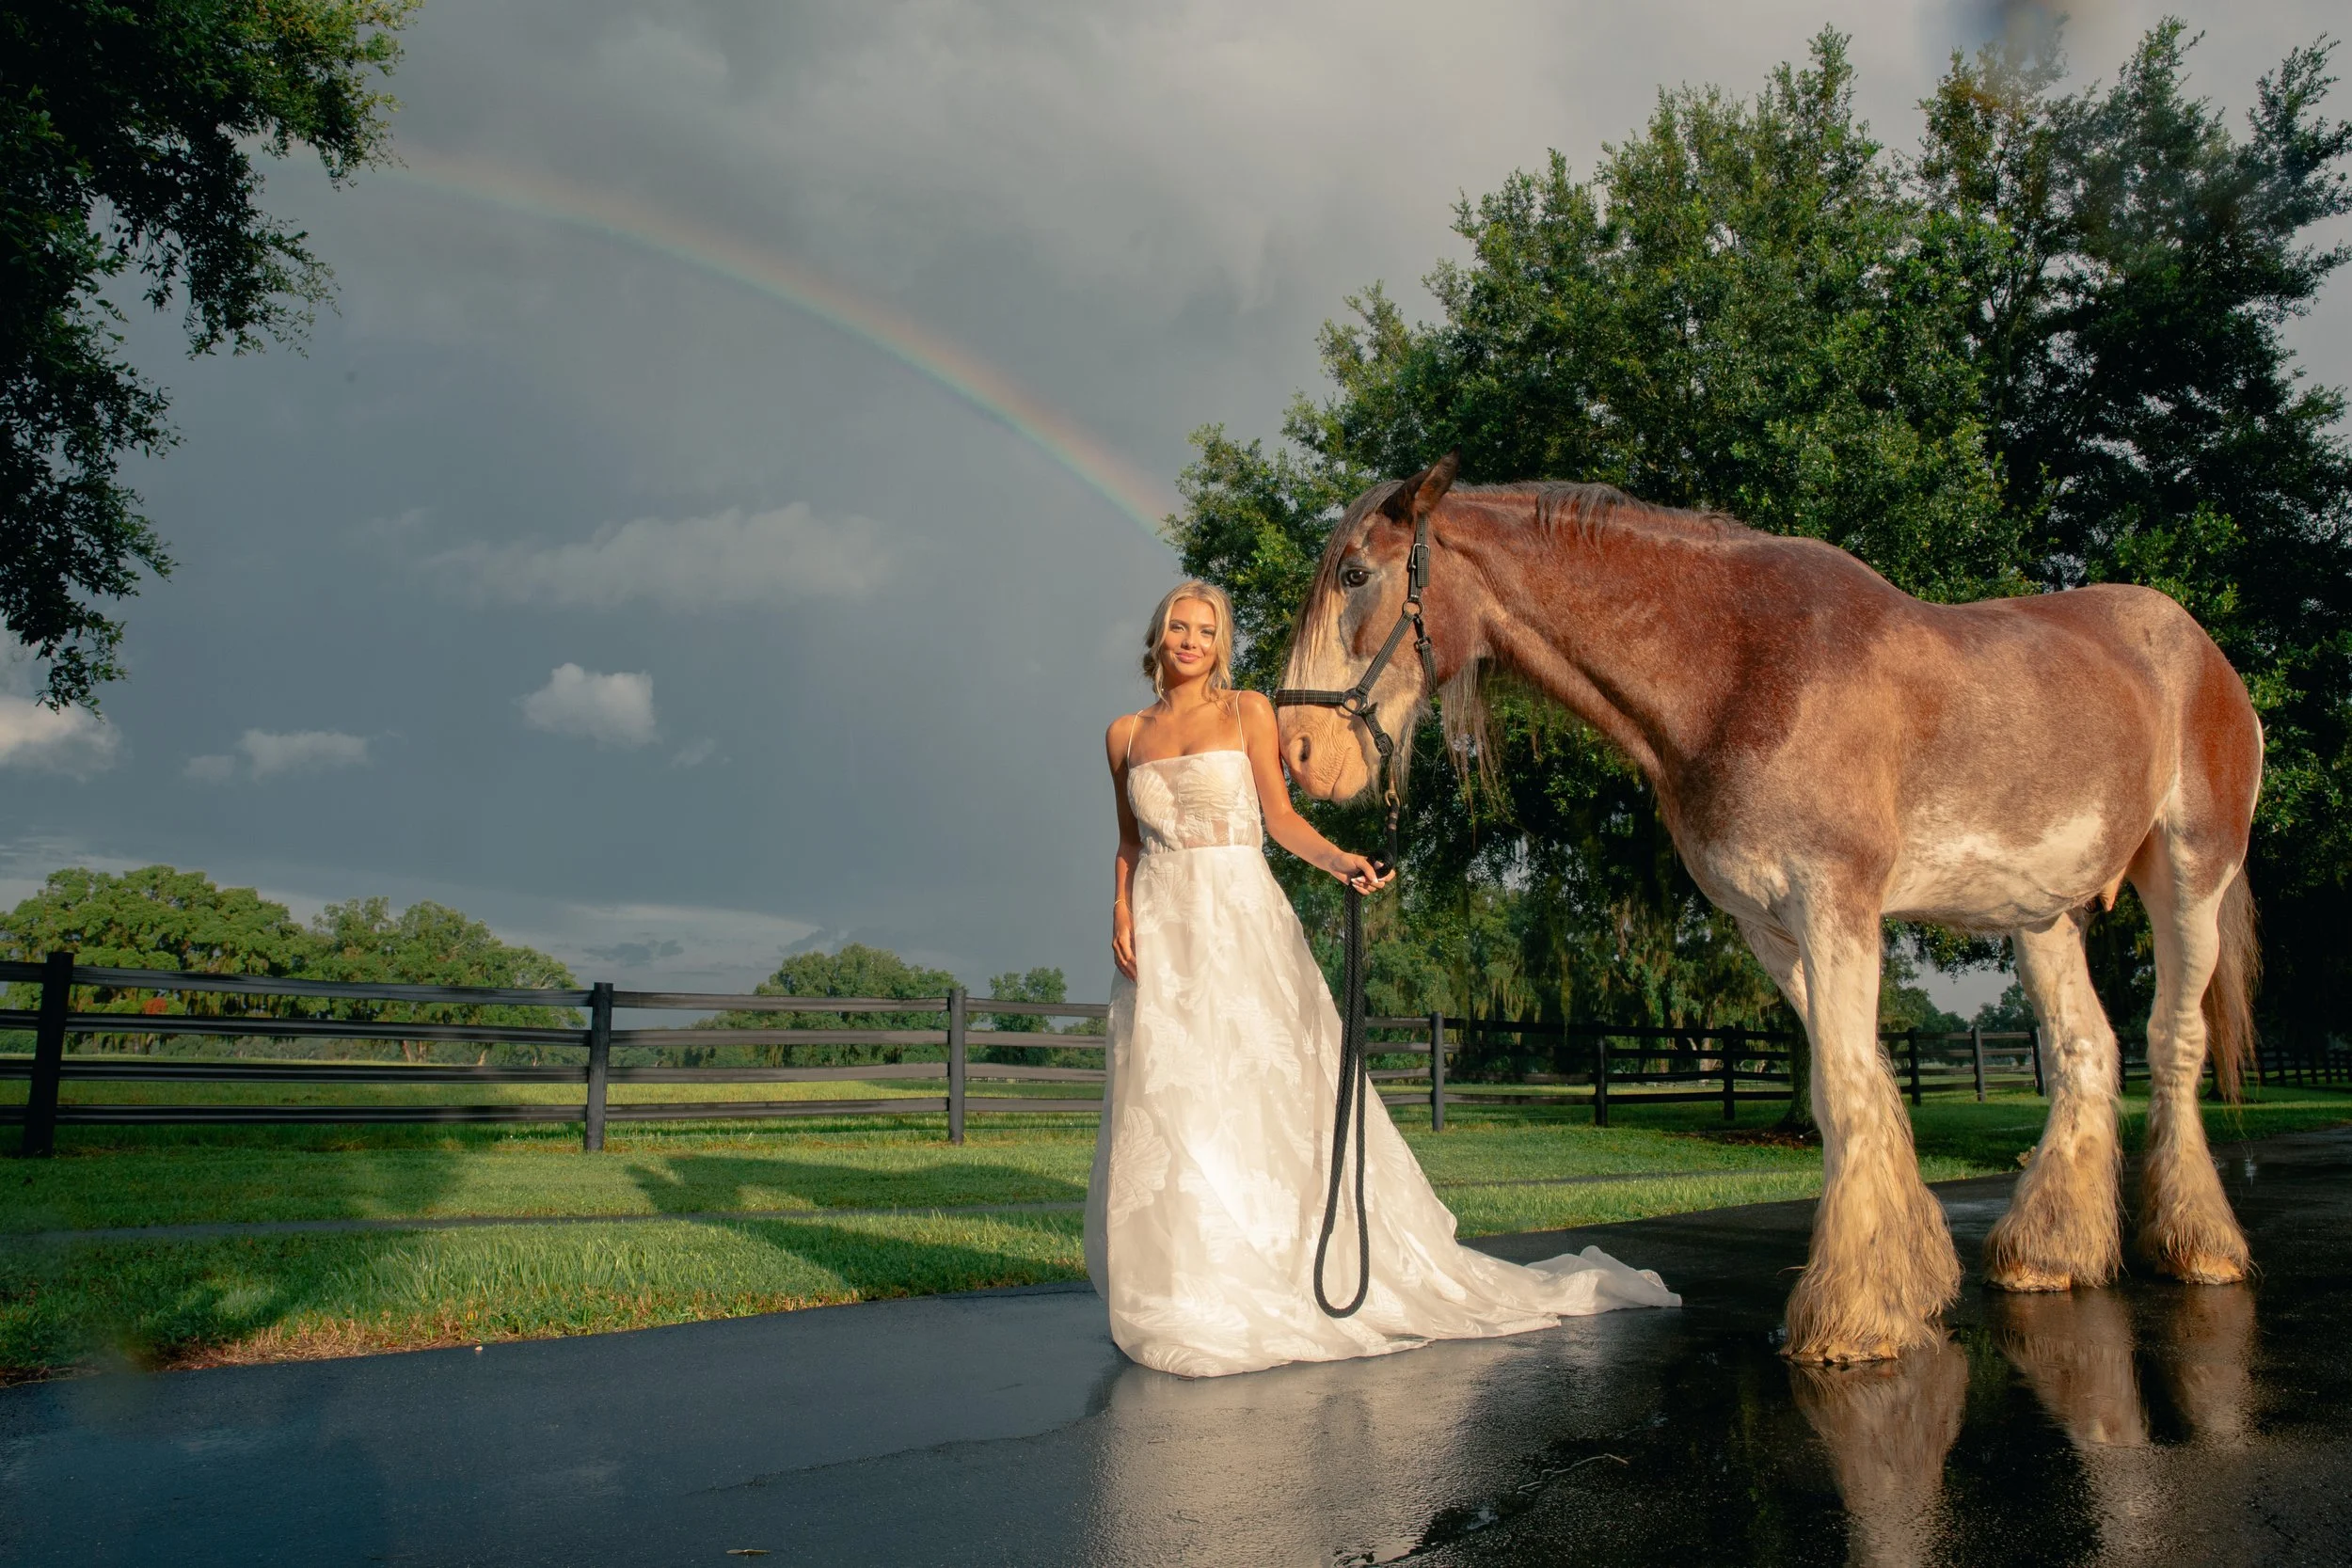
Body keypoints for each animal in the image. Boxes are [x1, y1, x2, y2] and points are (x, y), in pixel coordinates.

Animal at [1276, 454, 2263, 1364]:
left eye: (1356, 574)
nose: (1296, 749)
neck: (1738, 664)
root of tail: (2199, 649)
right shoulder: (1770, 923)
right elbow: (1865, 1081)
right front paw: (1908, 1280)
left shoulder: (1835, 901)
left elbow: (1844, 1088)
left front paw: (1853, 1316)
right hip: (2043, 912)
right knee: (2085, 1052)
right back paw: (2048, 1253)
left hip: (2190, 877)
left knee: (2173, 1042)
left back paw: (2200, 1244)